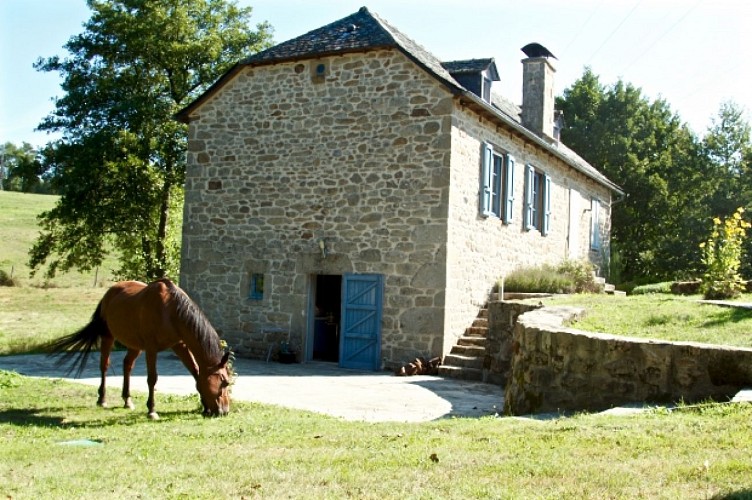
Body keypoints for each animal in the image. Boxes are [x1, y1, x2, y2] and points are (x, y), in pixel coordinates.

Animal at [48, 278, 231, 418]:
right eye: (225, 382)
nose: (225, 411)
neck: (170, 310)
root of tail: (110, 292)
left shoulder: (180, 345)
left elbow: (196, 373)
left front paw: (205, 407)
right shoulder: (151, 348)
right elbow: (152, 379)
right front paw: (152, 411)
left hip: (134, 345)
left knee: (127, 365)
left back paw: (127, 400)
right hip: (108, 337)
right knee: (104, 365)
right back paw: (102, 399)